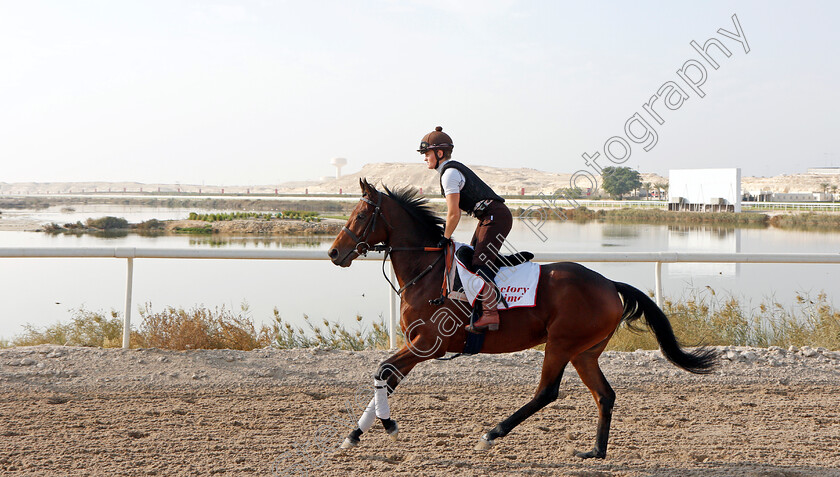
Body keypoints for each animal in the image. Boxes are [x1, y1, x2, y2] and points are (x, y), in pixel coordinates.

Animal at [326, 179, 716, 458]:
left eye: (360, 216)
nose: (333, 253)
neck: (427, 271)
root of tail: (609, 283)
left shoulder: (427, 346)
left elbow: (382, 371)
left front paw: (388, 425)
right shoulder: (416, 345)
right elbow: (385, 377)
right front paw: (354, 435)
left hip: (560, 344)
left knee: (547, 392)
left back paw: (491, 435)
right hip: (584, 352)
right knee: (604, 395)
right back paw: (595, 451)